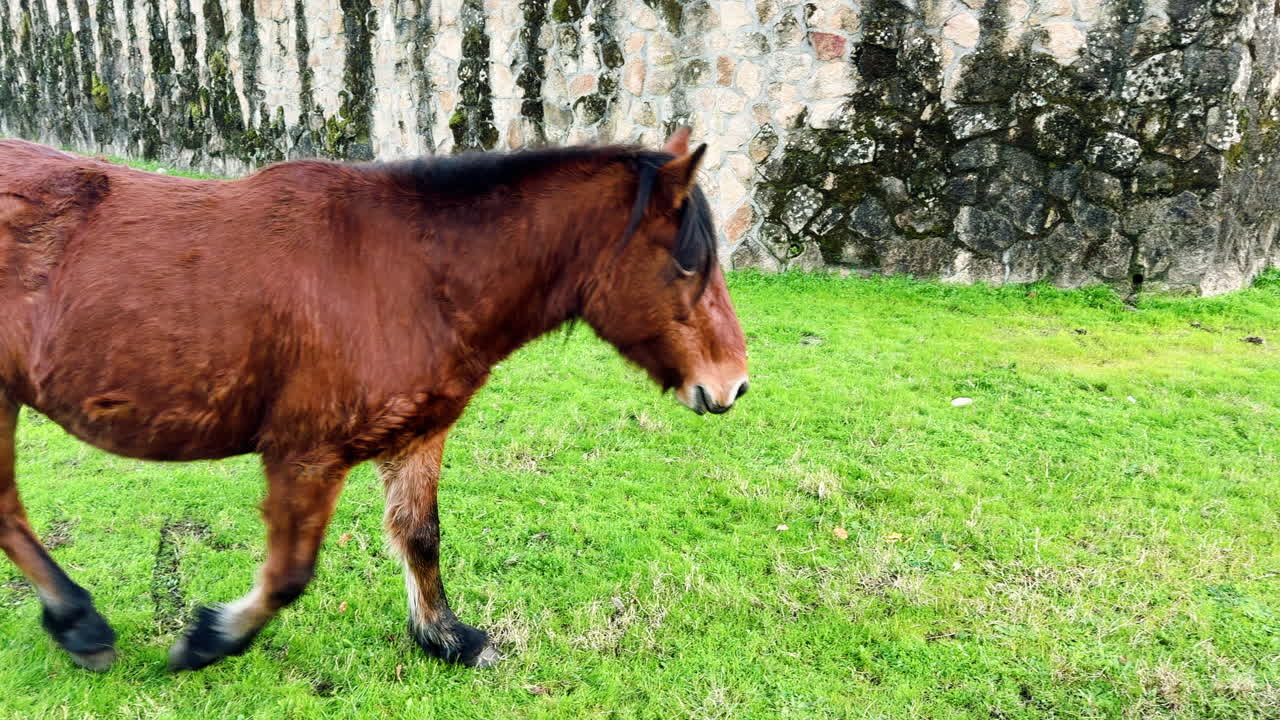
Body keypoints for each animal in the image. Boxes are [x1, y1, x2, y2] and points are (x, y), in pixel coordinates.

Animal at [0, 129, 748, 672]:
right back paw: (80, 624)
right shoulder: (304, 455)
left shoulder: (417, 434)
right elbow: (289, 574)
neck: (412, 275)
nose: (732, 382)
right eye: (687, 262)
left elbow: (420, 536)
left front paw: (446, 637)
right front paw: (211, 639)